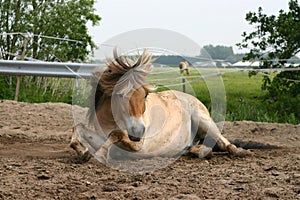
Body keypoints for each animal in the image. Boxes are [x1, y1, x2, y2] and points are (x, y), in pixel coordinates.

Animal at [70, 49, 251, 163]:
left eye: (145, 95)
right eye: (120, 95)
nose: (138, 131)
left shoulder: (139, 145)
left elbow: (115, 134)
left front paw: (99, 154)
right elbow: (78, 128)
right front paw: (83, 151)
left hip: (204, 120)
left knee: (225, 143)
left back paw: (240, 152)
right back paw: (199, 151)